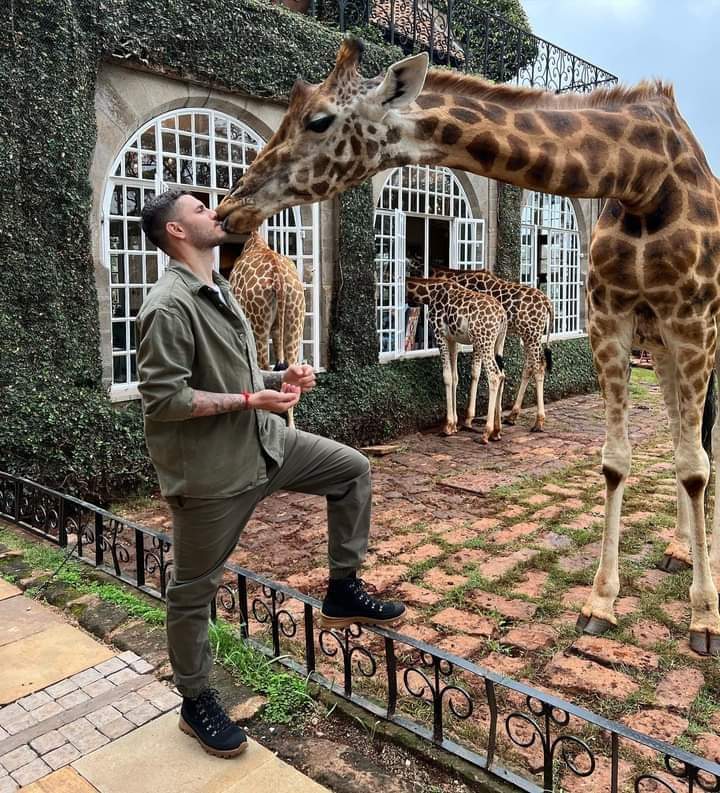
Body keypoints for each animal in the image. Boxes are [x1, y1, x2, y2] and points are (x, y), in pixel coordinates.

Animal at [228, 230, 305, 429]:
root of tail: (279, 278)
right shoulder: (277, 329)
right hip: (295, 321)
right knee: (290, 370)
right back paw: (289, 425)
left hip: (258, 325)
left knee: (263, 366)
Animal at [406, 276, 507, 441]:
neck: (430, 294)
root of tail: (502, 317)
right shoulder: (453, 339)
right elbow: (455, 377)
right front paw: (454, 425)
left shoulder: (440, 334)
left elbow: (447, 376)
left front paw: (447, 426)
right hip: (499, 342)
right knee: (503, 374)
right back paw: (497, 431)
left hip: (484, 340)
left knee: (494, 375)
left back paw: (487, 432)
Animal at [429, 265, 553, 432]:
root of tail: (548, 303)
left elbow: (476, 372)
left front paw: (469, 419)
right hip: (529, 335)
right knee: (530, 367)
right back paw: (512, 416)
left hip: (532, 335)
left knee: (538, 367)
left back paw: (538, 422)